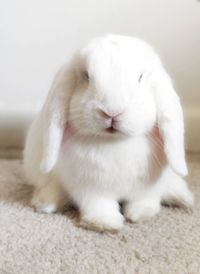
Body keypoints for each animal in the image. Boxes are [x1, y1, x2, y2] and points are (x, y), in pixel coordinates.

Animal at [23, 33, 194, 231]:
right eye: (86, 77)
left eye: (140, 77)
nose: (112, 111)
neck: (115, 142)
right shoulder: (89, 190)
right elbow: (98, 205)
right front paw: (105, 223)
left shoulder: (148, 189)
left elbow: (144, 201)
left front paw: (140, 215)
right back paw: (44, 204)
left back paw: (185, 199)